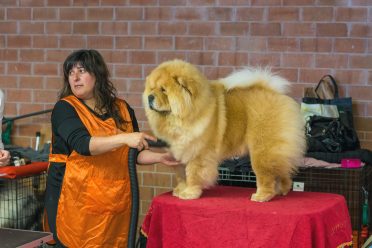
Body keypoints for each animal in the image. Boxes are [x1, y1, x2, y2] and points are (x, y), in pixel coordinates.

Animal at [142, 59, 306, 202]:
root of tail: (273, 92)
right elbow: (181, 174)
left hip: (262, 149)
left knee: (266, 174)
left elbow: (193, 174)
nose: (149, 97)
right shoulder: (181, 153)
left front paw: (190, 193)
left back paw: (262, 196)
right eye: (152, 89)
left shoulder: (198, 153)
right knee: (282, 170)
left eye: (164, 90)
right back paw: (281, 190)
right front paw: (180, 190)